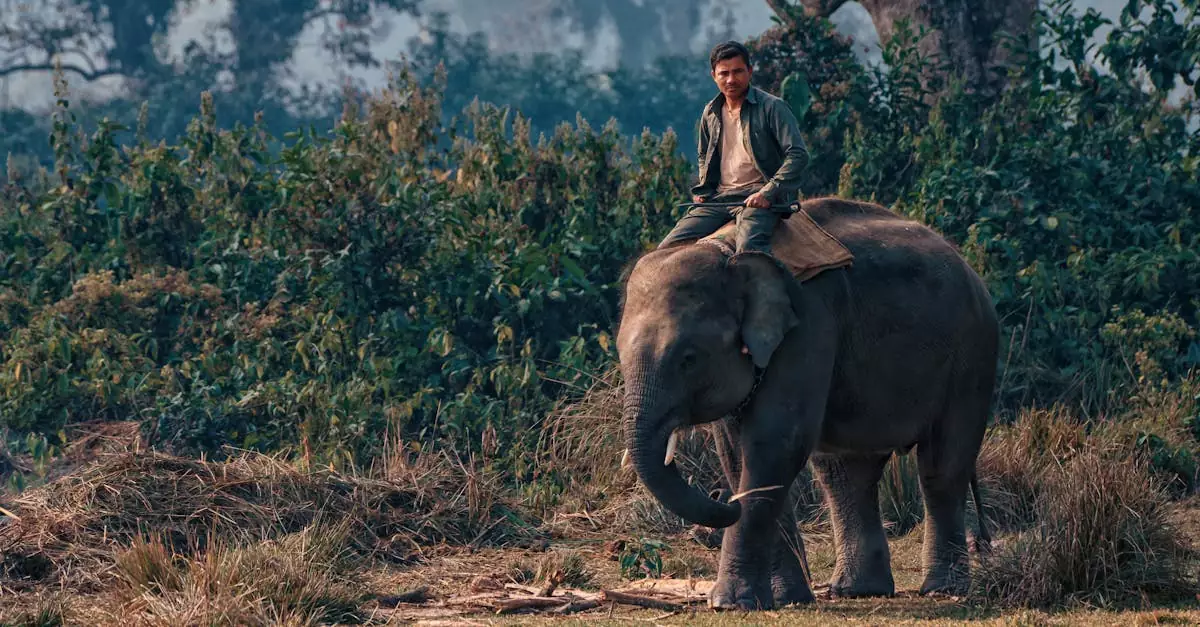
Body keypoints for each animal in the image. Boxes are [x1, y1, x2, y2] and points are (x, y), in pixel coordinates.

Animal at [616, 197, 999, 610]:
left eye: (688, 358)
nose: (724, 500)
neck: (727, 253)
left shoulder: (809, 325)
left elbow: (774, 444)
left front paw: (731, 604)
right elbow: (737, 453)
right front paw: (786, 599)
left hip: (972, 355)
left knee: (941, 467)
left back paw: (941, 590)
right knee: (846, 473)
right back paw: (857, 591)